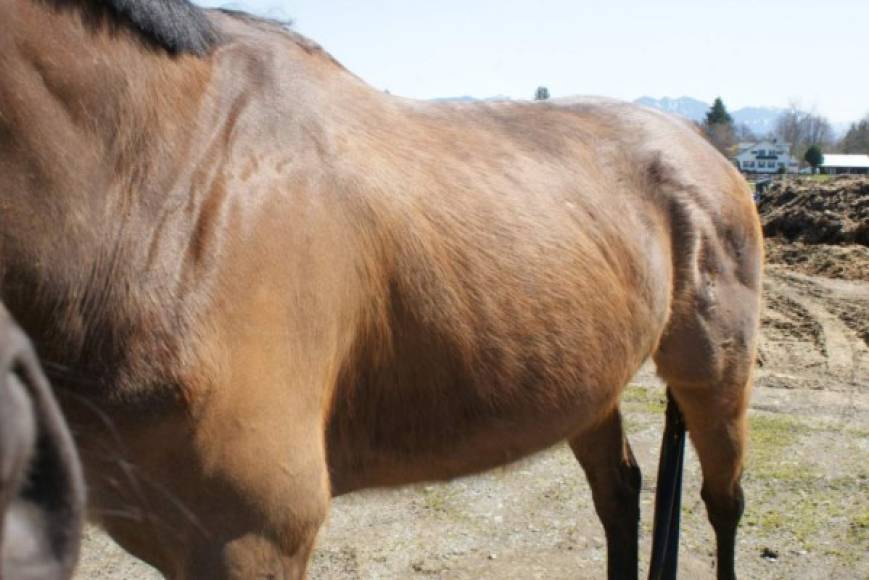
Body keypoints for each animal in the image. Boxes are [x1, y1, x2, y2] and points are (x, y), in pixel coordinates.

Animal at [0, 0, 760, 576]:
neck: (168, 187)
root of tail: (701, 146)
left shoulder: (254, 540)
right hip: (587, 380)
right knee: (620, 492)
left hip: (715, 375)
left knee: (724, 502)